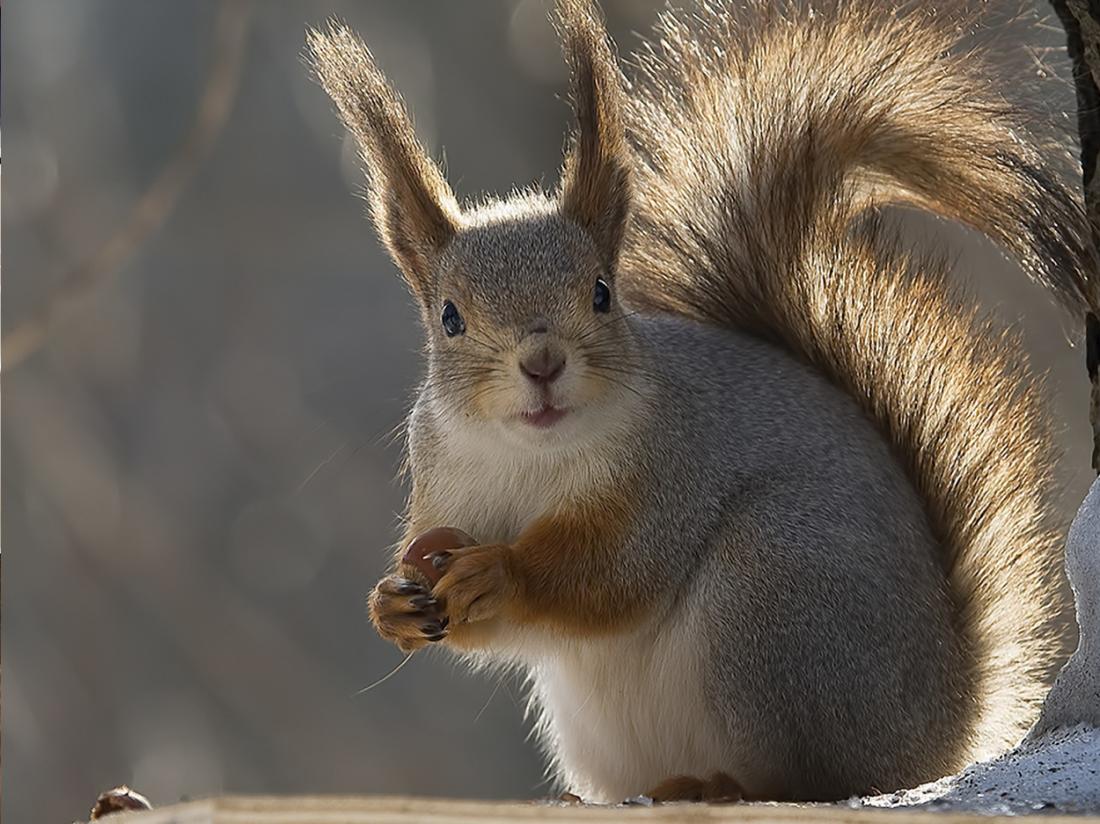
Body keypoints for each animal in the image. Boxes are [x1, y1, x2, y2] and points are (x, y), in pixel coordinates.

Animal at [305, 0, 1095, 805]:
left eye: (602, 292)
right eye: (450, 317)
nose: (542, 363)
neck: (533, 456)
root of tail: (944, 724)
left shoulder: (671, 471)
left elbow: (614, 573)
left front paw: (504, 573)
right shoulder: (446, 486)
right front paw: (391, 605)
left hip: (774, 593)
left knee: (814, 774)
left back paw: (717, 784)